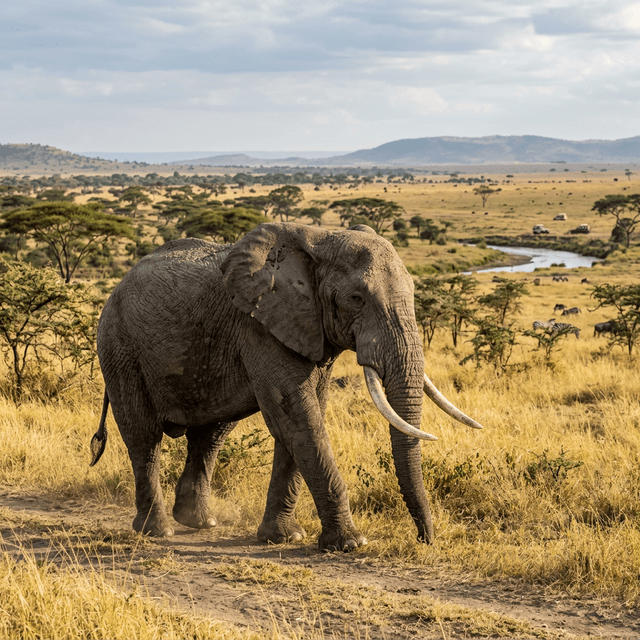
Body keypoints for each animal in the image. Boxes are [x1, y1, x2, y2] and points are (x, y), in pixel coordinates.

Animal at [90, 222, 482, 551]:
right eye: (356, 298)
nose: (425, 540)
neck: (320, 239)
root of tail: (117, 285)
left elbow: (303, 418)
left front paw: (283, 538)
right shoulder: (259, 325)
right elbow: (296, 416)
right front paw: (350, 544)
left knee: (211, 433)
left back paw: (200, 523)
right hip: (119, 345)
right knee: (143, 434)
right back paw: (158, 530)